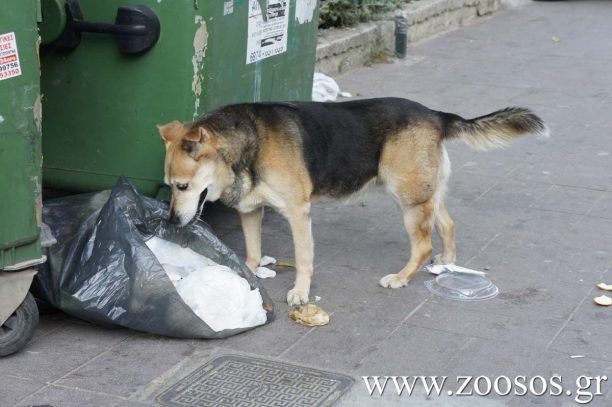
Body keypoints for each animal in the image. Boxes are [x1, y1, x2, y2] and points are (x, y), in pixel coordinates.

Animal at [158, 98, 548, 306]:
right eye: (168, 187)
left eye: (182, 186)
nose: (171, 222)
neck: (244, 144)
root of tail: (436, 114)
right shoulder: (252, 211)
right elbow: (252, 253)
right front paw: (250, 274)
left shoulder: (298, 213)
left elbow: (304, 259)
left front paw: (300, 292)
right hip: (424, 194)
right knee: (448, 224)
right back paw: (447, 263)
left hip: (408, 201)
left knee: (422, 245)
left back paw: (402, 277)